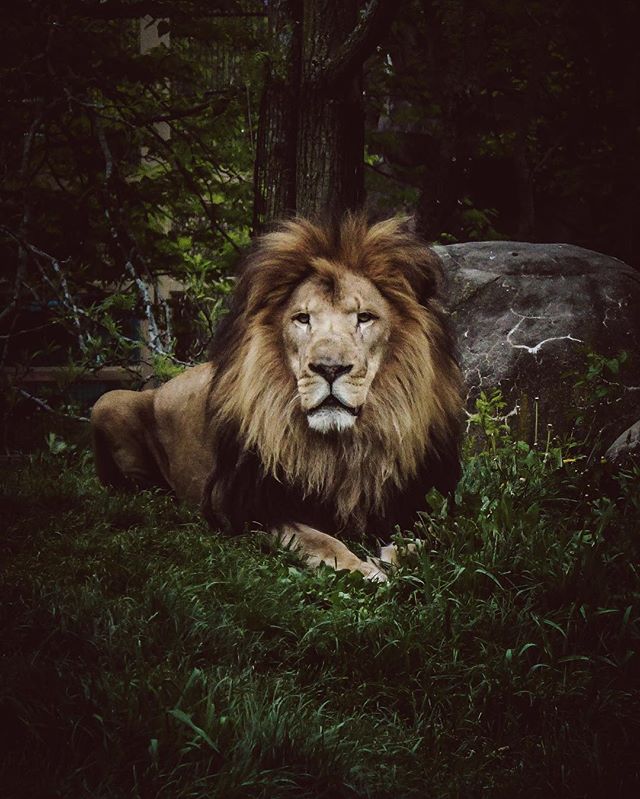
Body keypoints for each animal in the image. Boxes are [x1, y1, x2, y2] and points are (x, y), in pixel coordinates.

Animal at [91, 214, 463, 581]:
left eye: (364, 318)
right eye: (302, 319)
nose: (330, 368)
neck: (341, 448)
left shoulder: (427, 500)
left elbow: (432, 533)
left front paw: (390, 556)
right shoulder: (249, 508)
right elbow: (321, 540)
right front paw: (363, 570)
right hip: (108, 401)